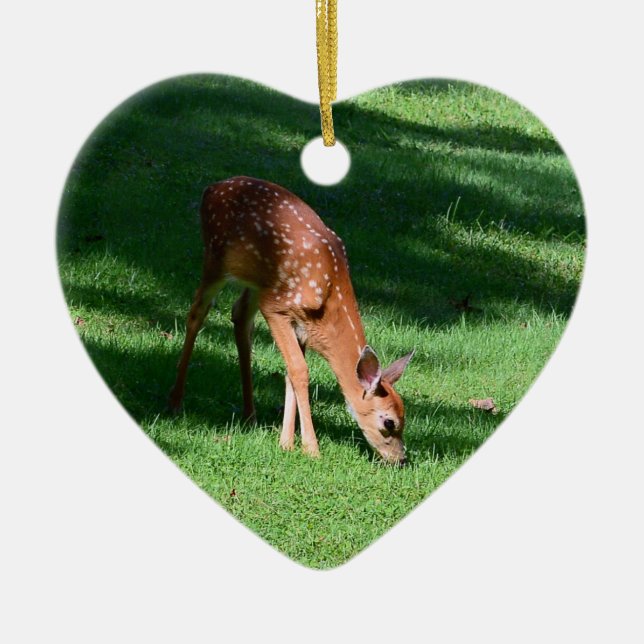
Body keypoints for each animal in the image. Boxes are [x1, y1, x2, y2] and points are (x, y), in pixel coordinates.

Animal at [169, 176, 414, 465]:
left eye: (405, 418)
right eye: (389, 423)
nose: (400, 459)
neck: (329, 293)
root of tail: (211, 188)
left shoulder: (303, 323)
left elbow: (290, 372)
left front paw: (286, 443)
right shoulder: (277, 308)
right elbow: (299, 370)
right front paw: (311, 448)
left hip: (258, 281)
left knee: (240, 316)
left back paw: (250, 414)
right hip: (217, 258)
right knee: (196, 313)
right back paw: (175, 401)